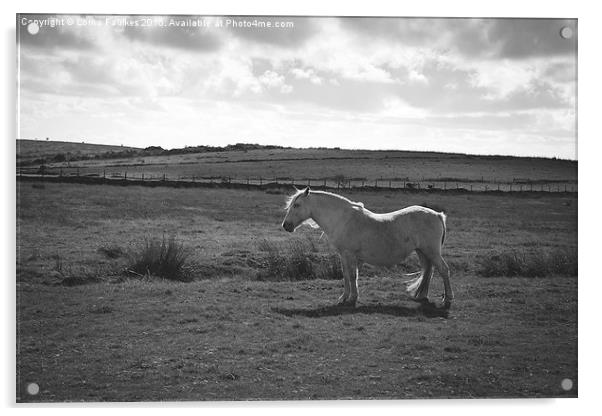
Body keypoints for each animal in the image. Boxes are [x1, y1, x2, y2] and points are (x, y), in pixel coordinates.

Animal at [282, 188, 450, 308]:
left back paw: (447, 300)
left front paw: (352, 299)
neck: (343, 219)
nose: (286, 226)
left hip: (431, 252)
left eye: (297, 205)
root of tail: (438, 215)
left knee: (443, 270)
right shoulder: (343, 255)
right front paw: (343, 298)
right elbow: (346, 275)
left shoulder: (349, 255)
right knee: (428, 271)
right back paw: (422, 296)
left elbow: (352, 276)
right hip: (423, 252)